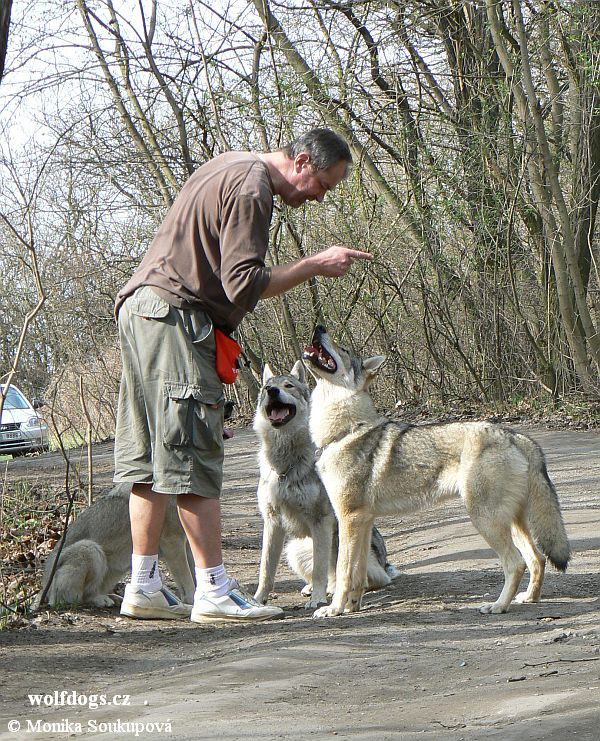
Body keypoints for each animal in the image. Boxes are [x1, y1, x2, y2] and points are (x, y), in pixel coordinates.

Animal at [33, 486, 195, 608]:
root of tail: (44, 587)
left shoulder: (187, 543)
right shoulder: (173, 542)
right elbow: (187, 580)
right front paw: (193, 603)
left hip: (115, 570)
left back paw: (113, 597)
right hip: (91, 549)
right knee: (78, 598)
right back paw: (102, 600)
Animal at [251, 358, 396, 608]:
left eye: (288, 386)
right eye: (266, 387)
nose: (272, 391)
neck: (286, 463)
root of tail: (385, 562)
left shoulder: (320, 520)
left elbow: (321, 568)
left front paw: (318, 599)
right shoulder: (272, 522)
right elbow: (266, 570)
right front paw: (259, 600)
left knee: (360, 578)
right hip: (295, 548)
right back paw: (313, 589)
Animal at [302, 326, 568, 616]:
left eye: (344, 350)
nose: (319, 327)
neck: (343, 431)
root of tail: (515, 436)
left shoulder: (348, 519)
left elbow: (342, 572)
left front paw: (334, 609)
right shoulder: (363, 521)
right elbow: (358, 574)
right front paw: (352, 607)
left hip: (485, 520)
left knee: (516, 563)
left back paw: (498, 606)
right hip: (512, 522)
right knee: (537, 558)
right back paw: (529, 598)